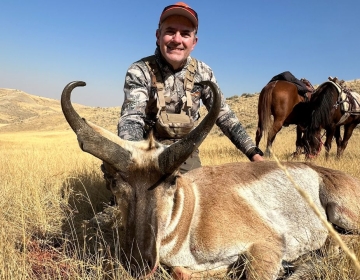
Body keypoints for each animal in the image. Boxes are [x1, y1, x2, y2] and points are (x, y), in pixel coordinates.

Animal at [62, 81, 360, 280]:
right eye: (114, 183)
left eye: (172, 180)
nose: (140, 261)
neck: (192, 211)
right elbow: (183, 272)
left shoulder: (267, 245)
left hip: (340, 211)